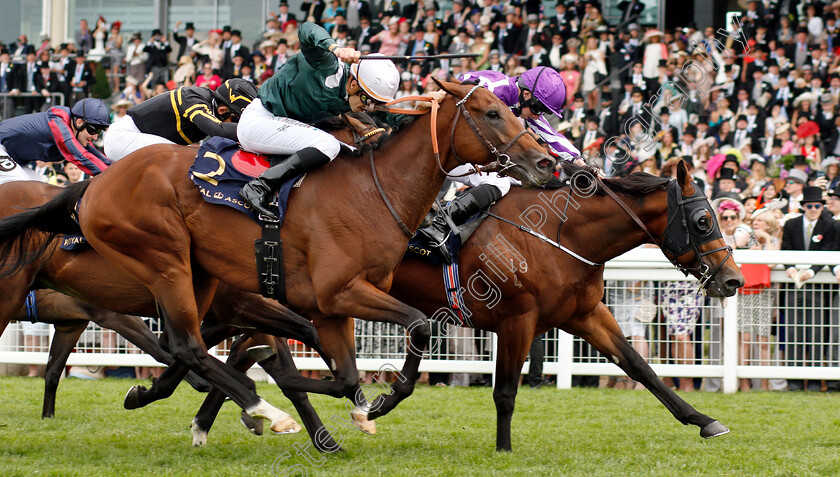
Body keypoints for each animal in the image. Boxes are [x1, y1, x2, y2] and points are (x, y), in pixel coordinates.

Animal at [0, 81, 556, 432]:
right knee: (187, 346)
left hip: (192, 277)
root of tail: (91, 188)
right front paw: (369, 402)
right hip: (164, 262)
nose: (546, 161)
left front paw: (359, 407)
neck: (371, 190)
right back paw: (265, 409)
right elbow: (417, 326)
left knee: (183, 346)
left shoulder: (326, 306)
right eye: (493, 113)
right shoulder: (338, 292)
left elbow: (343, 372)